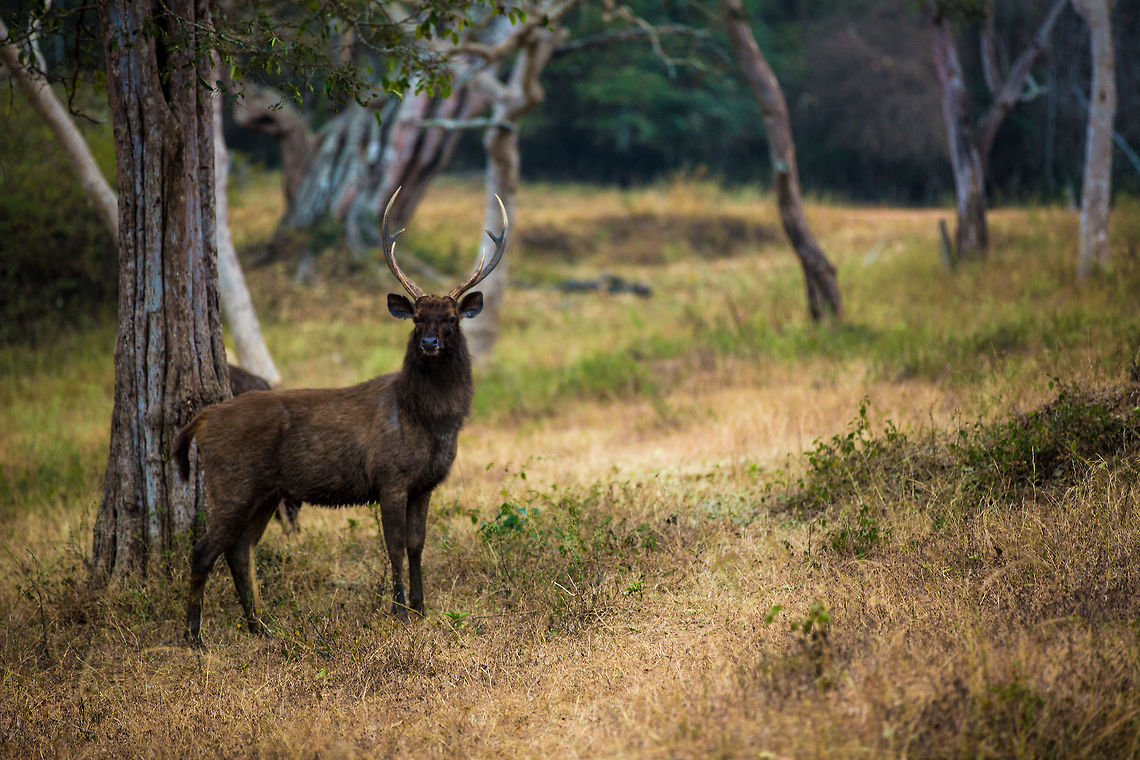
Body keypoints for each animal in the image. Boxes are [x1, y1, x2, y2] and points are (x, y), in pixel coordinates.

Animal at [173, 188, 508, 647]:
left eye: (452, 319)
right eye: (417, 318)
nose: (429, 343)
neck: (427, 421)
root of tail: (202, 422)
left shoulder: (425, 484)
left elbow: (418, 544)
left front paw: (421, 608)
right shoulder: (390, 477)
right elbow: (395, 546)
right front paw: (399, 612)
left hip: (266, 492)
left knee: (240, 549)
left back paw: (260, 627)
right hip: (233, 482)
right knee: (204, 549)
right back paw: (194, 636)